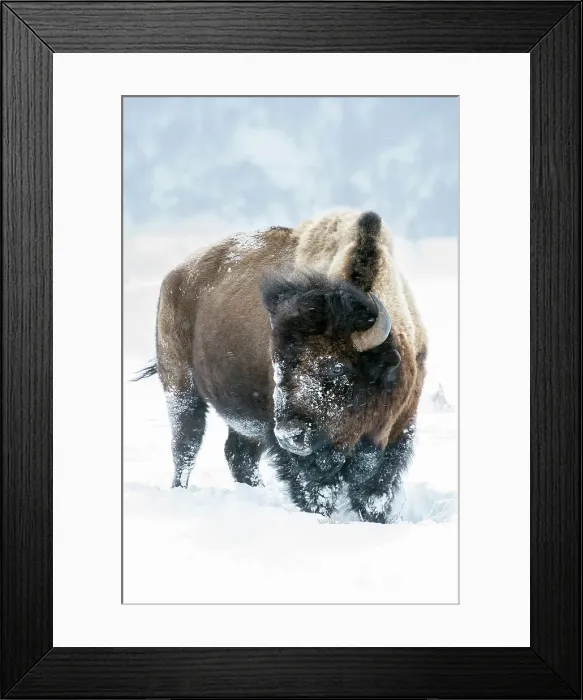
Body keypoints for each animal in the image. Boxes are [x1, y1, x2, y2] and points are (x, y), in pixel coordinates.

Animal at [135, 209, 427, 523]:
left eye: (338, 368)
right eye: (278, 364)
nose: (290, 435)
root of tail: (174, 277)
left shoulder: (398, 429)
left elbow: (374, 491)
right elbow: (316, 489)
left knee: (237, 454)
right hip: (180, 388)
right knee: (186, 446)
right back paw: (181, 490)